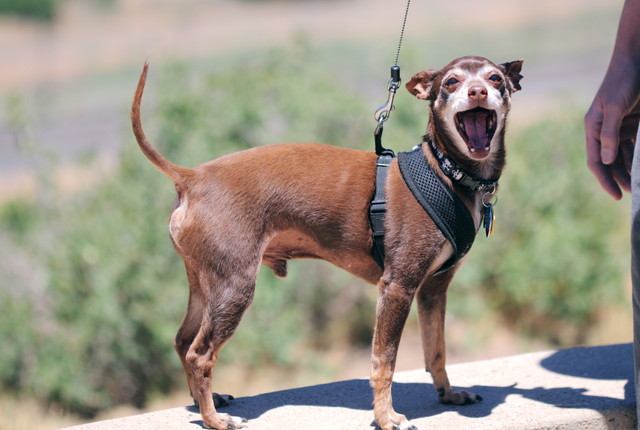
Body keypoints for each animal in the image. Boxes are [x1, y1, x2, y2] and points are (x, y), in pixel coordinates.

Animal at [131, 57, 524, 430]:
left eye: (495, 79)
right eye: (452, 81)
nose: (477, 91)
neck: (445, 172)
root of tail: (192, 177)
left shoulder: (433, 289)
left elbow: (436, 350)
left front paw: (447, 394)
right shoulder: (397, 287)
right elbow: (384, 361)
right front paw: (387, 417)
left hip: (205, 284)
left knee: (183, 341)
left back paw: (205, 403)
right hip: (234, 287)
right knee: (200, 354)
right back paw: (215, 420)